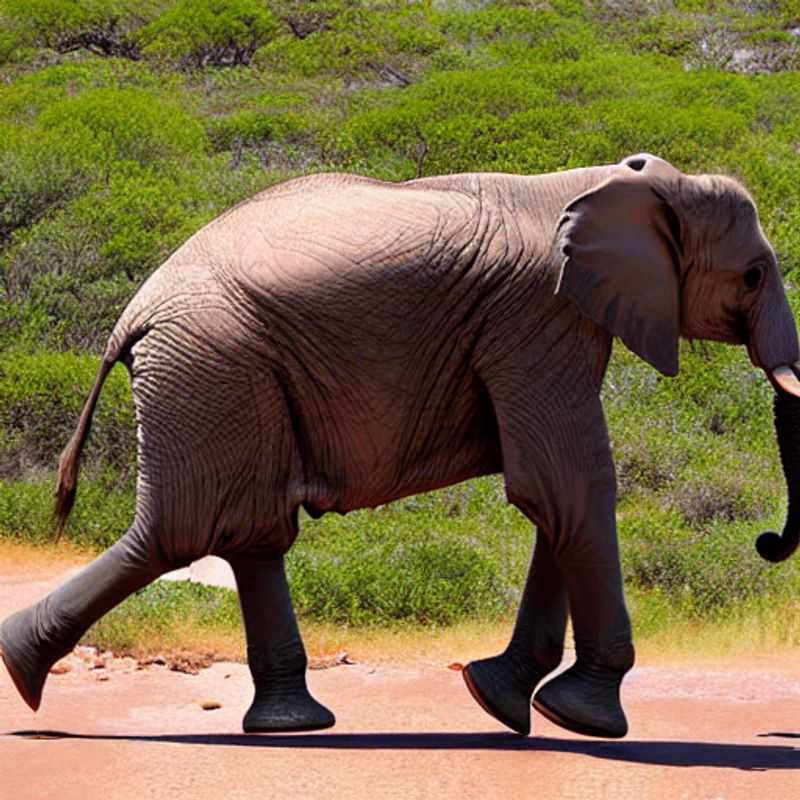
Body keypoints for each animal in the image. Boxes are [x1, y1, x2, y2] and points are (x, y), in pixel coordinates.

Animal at [2, 153, 800, 739]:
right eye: (753, 275)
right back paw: (25, 675)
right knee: (184, 530)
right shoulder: (538, 315)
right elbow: (568, 484)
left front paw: (500, 701)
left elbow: (556, 494)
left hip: (226, 369)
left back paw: (287, 727)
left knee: (246, 528)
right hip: (215, 360)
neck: (606, 181)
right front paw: (588, 721)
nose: (765, 543)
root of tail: (131, 313)